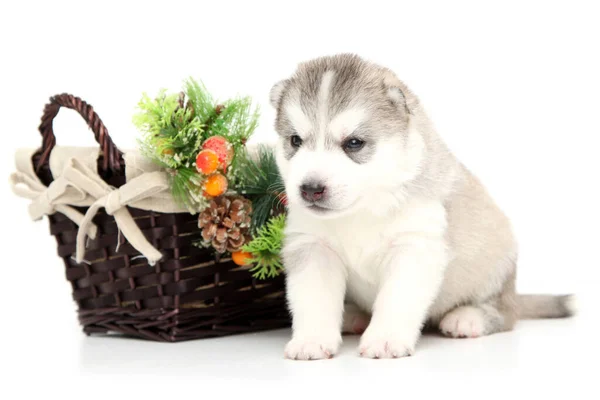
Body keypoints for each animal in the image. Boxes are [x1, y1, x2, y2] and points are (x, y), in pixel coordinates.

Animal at [268, 53, 576, 360]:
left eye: (354, 143)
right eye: (295, 140)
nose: (310, 189)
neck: (364, 209)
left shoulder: (414, 247)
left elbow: (396, 299)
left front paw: (385, 339)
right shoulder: (313, 247)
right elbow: (313, 300)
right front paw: (311, 340)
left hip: (497, 268)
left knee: (505, 313)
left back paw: (468, 317)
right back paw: (354, 316)